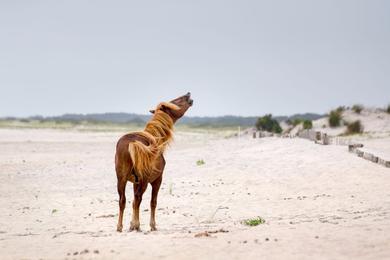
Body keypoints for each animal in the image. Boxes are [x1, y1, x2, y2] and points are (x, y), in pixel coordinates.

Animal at [115, 92, 194, 232]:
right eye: (175, 101)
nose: (188, 93)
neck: (155, 139)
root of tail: (131, 143)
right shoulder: (157, 180)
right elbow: (153, 202)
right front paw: (151, 225)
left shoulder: (135, 182)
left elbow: (133, 203)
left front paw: (131, 224)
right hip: (144, 181)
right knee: (138, 199)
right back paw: (137, 226)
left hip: (121, 179)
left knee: (123, 200)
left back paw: (120, 227)